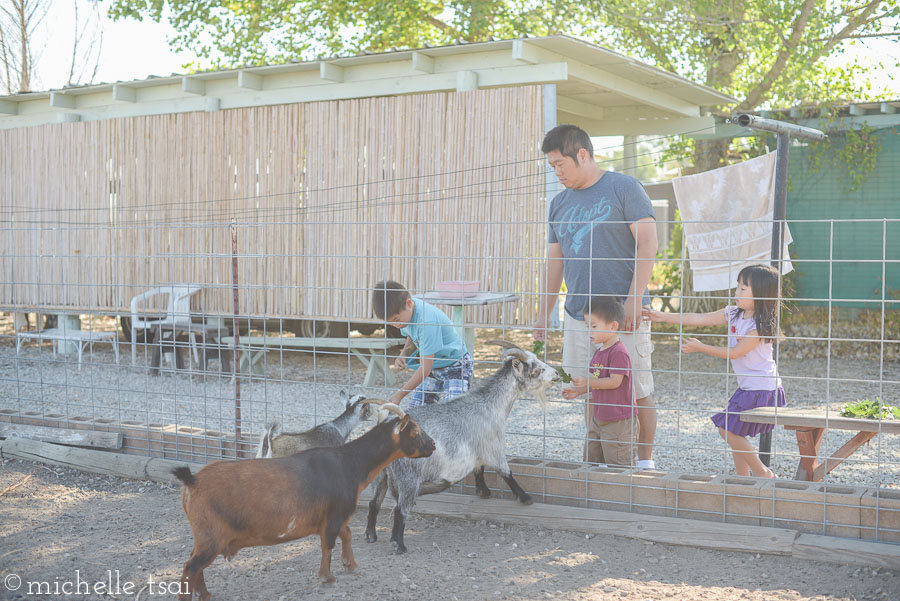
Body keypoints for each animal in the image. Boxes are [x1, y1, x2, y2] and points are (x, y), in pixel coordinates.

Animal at [173, 404, 436, 600]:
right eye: (415, 432)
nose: (433, 445)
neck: (348, 463)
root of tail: (192, 481)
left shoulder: (334, 517)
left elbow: (347, 533)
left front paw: (350, 564)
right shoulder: (333, 516)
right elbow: (328, 544)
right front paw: (328, 578)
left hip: (205, 538)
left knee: (194, 565)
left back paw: (205, 594)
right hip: (211, 537)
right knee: (190, 567)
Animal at [364, 340, 560, 552]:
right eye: (537, 369)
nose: (557, 374)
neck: (491, 406)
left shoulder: (477, 450)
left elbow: (479, 469)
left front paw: (483, 492)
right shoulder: (494, 446)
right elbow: (506, 473)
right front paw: (525, 498)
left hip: (381, 474)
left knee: (374, 502)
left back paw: (371, 536)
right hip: (409, 478)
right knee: (400, 509)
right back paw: (399, 545)